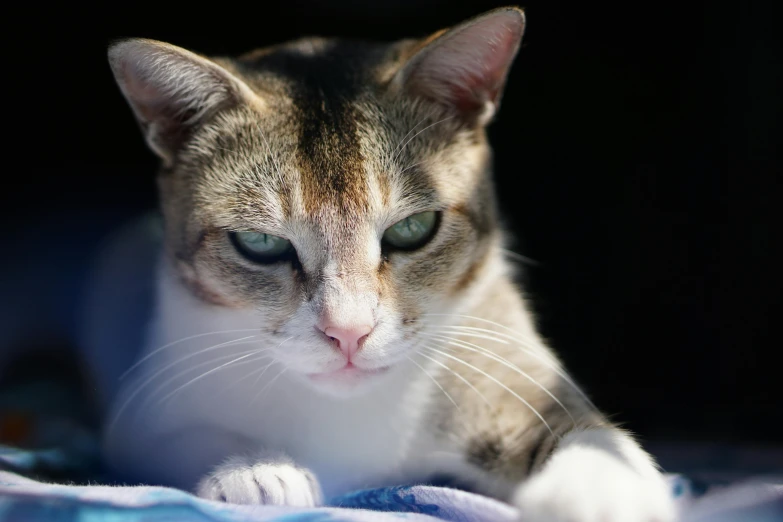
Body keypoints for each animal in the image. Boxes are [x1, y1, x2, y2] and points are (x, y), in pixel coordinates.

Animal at [84, 5, 672, 520]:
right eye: (260, 242)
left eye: (413, 229)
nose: (348, 333)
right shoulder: (144, 412)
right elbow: (180, 439)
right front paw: (255, 470)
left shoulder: (512, 373)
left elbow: (592, 436)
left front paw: (598, 496)